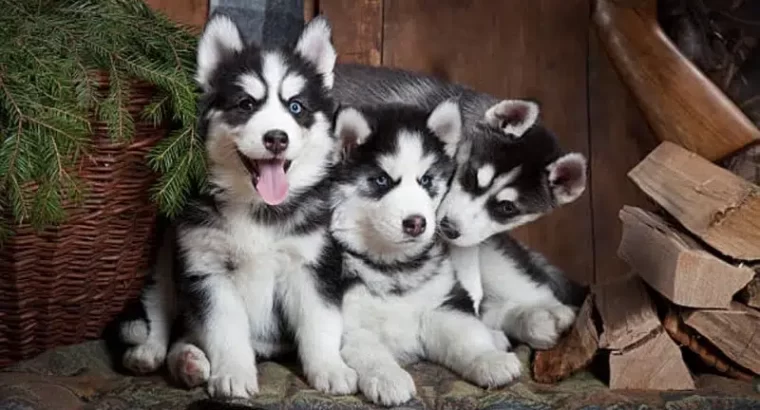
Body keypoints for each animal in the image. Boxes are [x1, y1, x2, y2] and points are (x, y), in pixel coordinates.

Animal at [119, 15, 360, 398]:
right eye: (246, 104)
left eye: (296, 106)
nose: (276, 138)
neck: (257, 209)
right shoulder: (208, 269)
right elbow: (225, 331)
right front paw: (233, 373)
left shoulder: (312, 264)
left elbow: (319, 322)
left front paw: (329, 368)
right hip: (166, 258)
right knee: (160, 312)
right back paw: (155, 354)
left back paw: (188, 361)